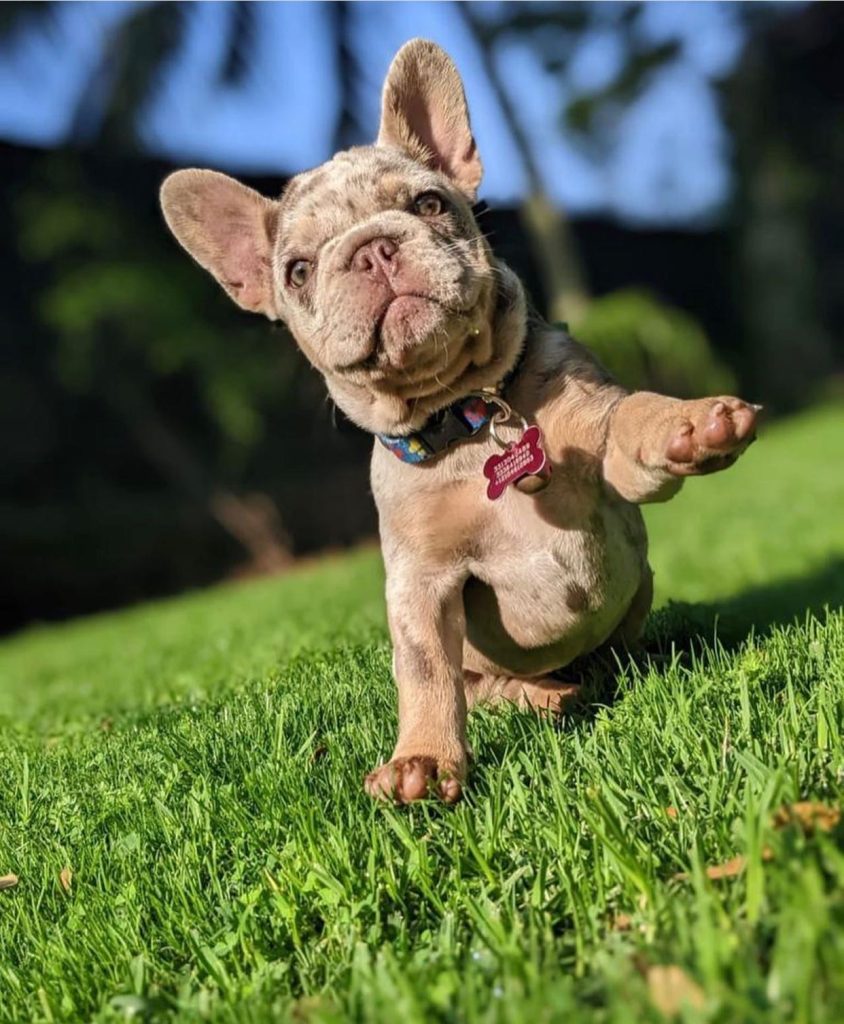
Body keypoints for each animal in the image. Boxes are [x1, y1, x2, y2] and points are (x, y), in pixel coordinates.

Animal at [161, 37, 762, 806]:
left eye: (428, 203)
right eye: (296, 271)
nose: (372, 248)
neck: (468, 416)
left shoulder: (601, 438)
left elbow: (632, 417)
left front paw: (690, 425)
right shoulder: (421, 583)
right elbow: (424, 670)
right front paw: (422, 757)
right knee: (490, 690)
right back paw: (546, 697)